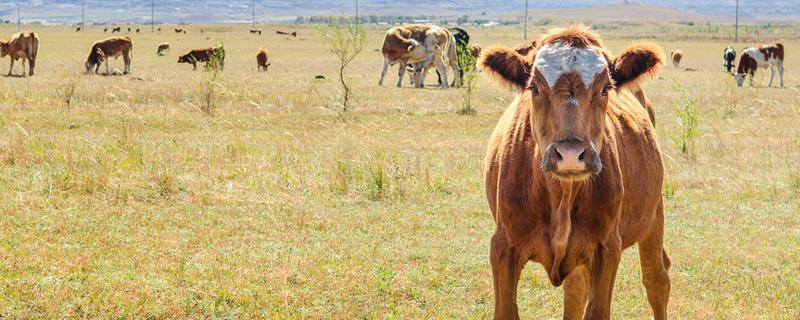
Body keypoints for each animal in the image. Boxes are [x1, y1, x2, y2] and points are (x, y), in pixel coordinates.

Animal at [478, 25, 672, 320]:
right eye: (534, 88)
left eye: (605, 88)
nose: (570, 154)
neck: (561, 195)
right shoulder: (502, 247)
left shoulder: (607, 248)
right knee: (576, 291)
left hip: (653, 213)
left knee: (656, 279)